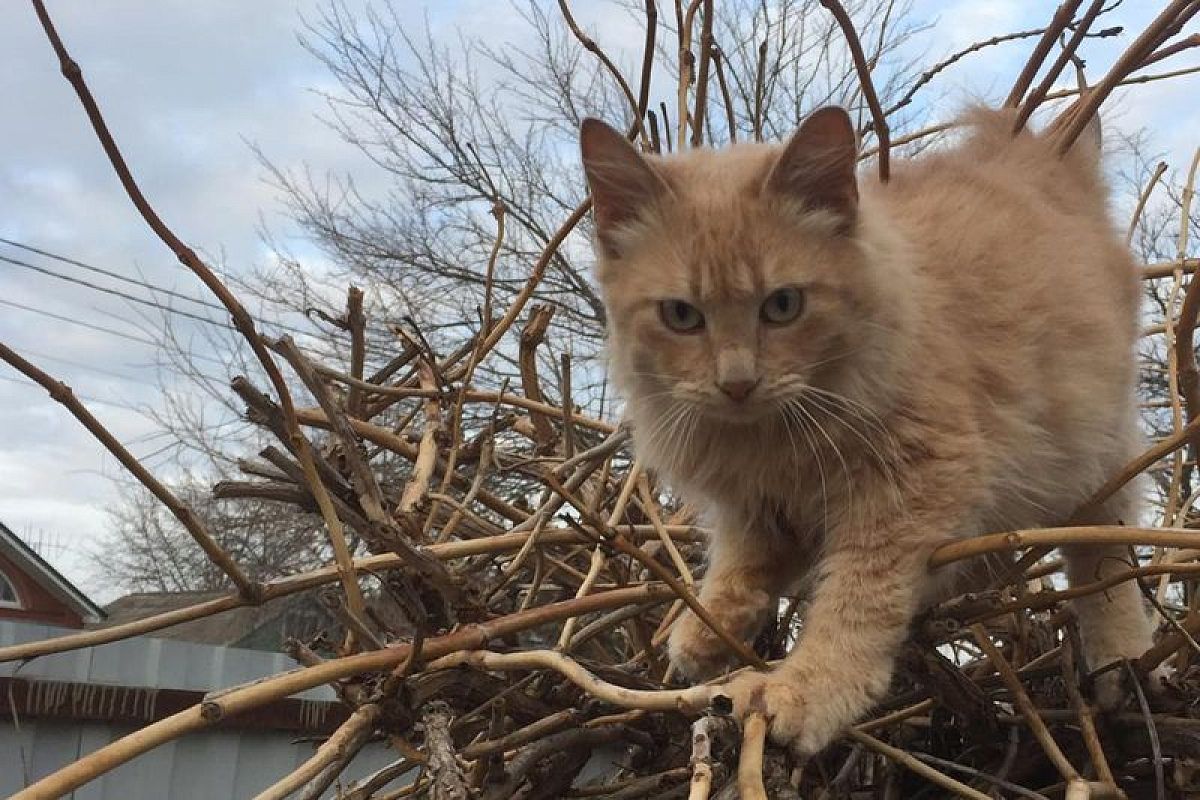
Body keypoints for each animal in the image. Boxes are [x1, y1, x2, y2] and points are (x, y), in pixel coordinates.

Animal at [576, 106, 1156, 758]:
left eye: (783, 306)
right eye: (681, 316)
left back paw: (1123, 664)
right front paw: (710, 626)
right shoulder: (757, 506)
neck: (769, 438)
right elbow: (741, 562)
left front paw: (808, 689)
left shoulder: (913, 483)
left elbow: (855, 601)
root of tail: (1037, 161)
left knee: (1104, 560)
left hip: (1097, 453)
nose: (737, 383)